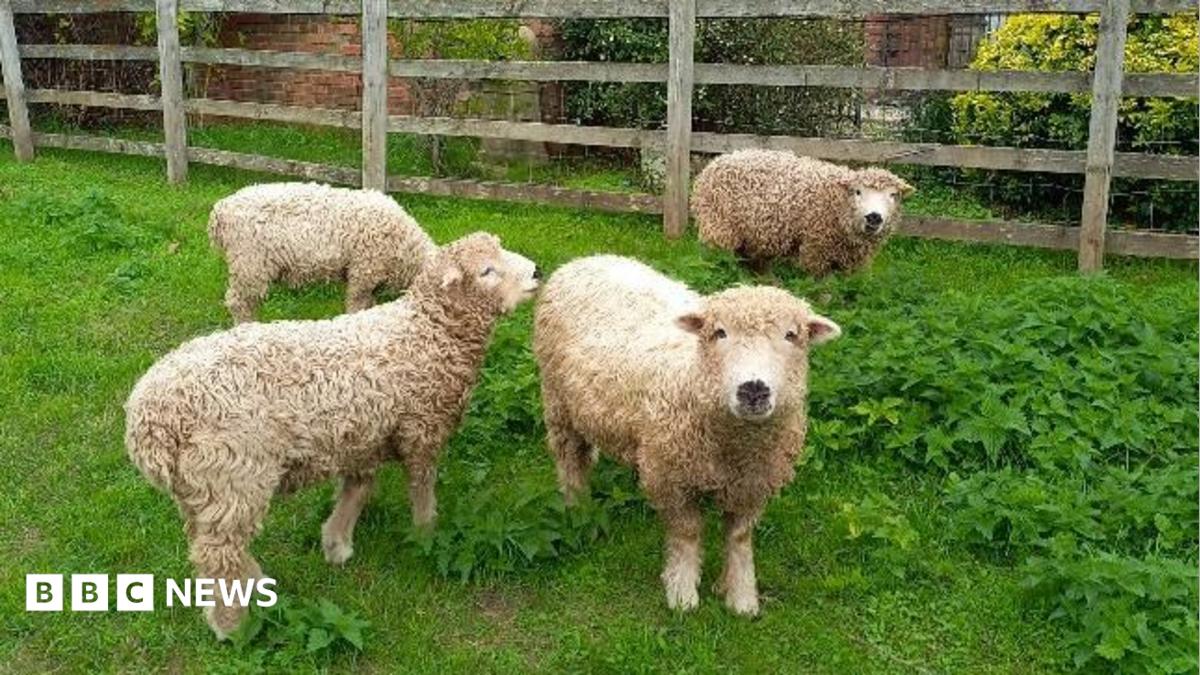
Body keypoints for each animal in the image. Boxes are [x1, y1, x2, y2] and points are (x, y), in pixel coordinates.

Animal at [124, 232, 539, 639]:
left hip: (200, 487)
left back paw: (254, 584)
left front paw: (336, 542)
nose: (536, 271)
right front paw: (427, 534)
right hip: (232, 476)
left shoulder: (362, 433)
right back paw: (233, 625)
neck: (426, 332)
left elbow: (359, 487)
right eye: (486, 271)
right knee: (217, 555)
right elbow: (421, 486)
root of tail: (148, 418)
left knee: (206, 541)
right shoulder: (422, 426)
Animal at [533, 255, 840, 616]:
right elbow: (687, 533)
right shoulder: (672, 479)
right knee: (570, 461)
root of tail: (588, 259)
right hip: (558, 403)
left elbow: (739, 538)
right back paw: (578, 510)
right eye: (719, 332)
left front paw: (740, 595)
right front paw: (682, 592)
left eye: (791, 335)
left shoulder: (751, 484)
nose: (753, 389)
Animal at [692, 150, 914, 276]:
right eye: (858, 191)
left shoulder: (851, 261)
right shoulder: (817, 250)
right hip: (718, 228)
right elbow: (822, 289)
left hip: (750, 237)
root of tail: (716, 161)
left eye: (893, 195)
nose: (874, 216)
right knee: (715, 259)